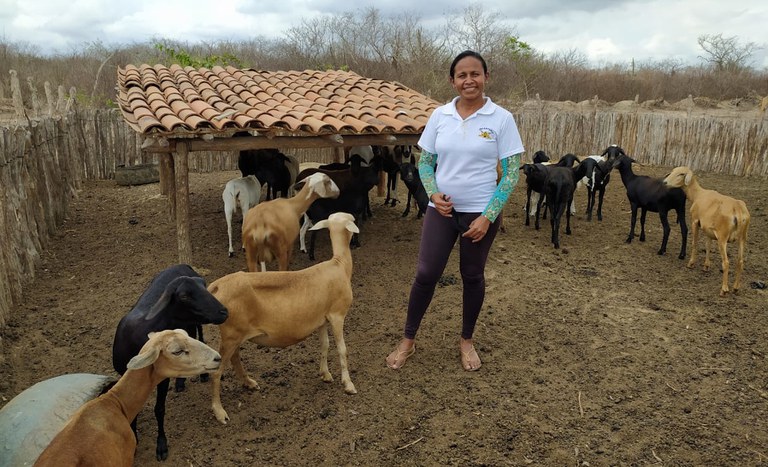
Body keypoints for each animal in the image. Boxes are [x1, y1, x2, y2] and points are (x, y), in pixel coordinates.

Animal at [109, 266, 228, 462]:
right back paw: (180, 382)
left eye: (204, 285)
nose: (224, 312)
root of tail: (182, 264)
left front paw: (161, 445)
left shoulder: (162, 378)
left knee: (199, 334)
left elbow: (159, 409)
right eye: (184, 296)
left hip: (193, 322)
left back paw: (201, 375)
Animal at [206, 212, 358, 424]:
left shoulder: (322, 319)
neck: (339, 264)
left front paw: (325, 374)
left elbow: (325, 346)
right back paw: (219, 412)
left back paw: (249, 383)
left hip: (233, 333)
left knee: (235, 358)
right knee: (217, 372)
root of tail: (217, 286)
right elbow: (342, 350)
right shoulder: (337, 315)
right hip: (231, 333)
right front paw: (348, 384)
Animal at [660, 166, 752, 294]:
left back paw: (724, 289)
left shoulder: (695, 221)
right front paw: (706, 266)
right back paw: (736, 287)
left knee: (726, 262)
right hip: (743, 237)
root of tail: (737, 209)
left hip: (723, 237)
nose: (665, 182)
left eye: (681, 174)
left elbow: (694, 243)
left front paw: (691, 263)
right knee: (740, 261)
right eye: (673, 171)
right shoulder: (708, 230)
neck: (697, 194)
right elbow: (708, 246)